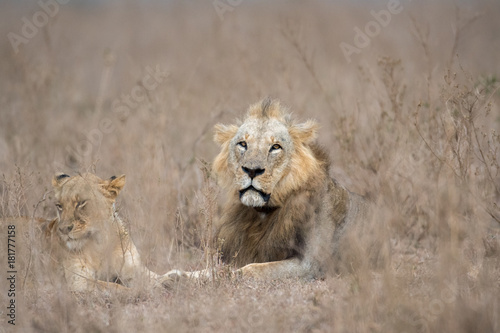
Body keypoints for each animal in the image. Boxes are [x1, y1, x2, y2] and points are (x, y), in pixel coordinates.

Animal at [170, 98, 366, 280]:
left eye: (275, 147)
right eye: (243, 144)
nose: (252, 170)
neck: (261, 213)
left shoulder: (311, 265)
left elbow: (249, 270)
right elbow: (213, 269)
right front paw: (172, 277)